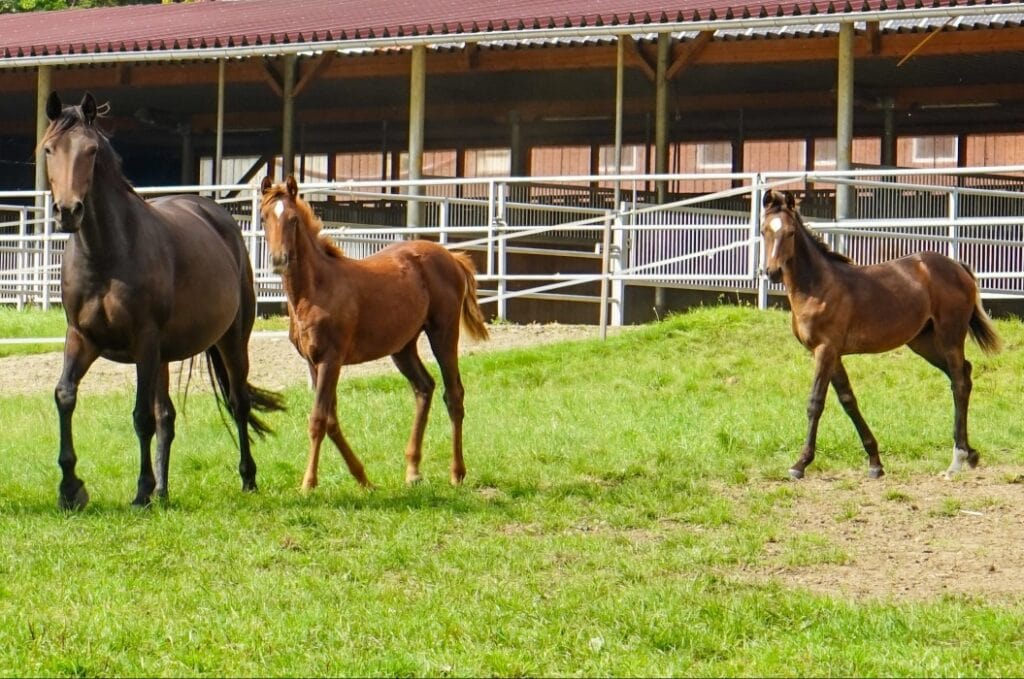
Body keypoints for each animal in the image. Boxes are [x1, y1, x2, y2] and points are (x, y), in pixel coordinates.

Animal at [43, 93, 284, 507]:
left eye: (91, 151)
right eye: (49, 149)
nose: (68, 211)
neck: (105, 253)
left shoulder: (144, 341)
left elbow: (141, 417)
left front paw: (140, 490)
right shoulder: (82, 338)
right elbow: (65, 396)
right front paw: (70, 488)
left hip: (231, 340)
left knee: (238, 403)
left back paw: (246, 478)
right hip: (165, 357)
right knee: (167, 416)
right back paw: (164, 491)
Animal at [260, 178, 491, 491]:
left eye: (293, 219)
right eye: (263, 217)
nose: (279, 259)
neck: (316, 289)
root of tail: (452, 257)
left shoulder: (331, 359)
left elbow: (318, 419)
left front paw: (308, 483)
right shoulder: (312, 361)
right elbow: (331, 420)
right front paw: (363, 478)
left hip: (443, 333)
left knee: (453, 393)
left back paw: (457, 473)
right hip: (402, 347)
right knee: (424, 387)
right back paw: (413, 470)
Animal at [761, 188, 999, 481]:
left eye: (791, 232)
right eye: (764, 230)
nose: (772, 272)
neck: (818, 286)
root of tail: (957, 266)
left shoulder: (825, 349)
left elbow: (815, 402)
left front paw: (800, 464)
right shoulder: (833, 354)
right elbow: (848, 400)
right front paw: (874, 462)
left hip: (950, 335)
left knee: (959, 383)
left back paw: (957, 460)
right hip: (923, 342)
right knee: (965, 372)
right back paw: (971, 453)